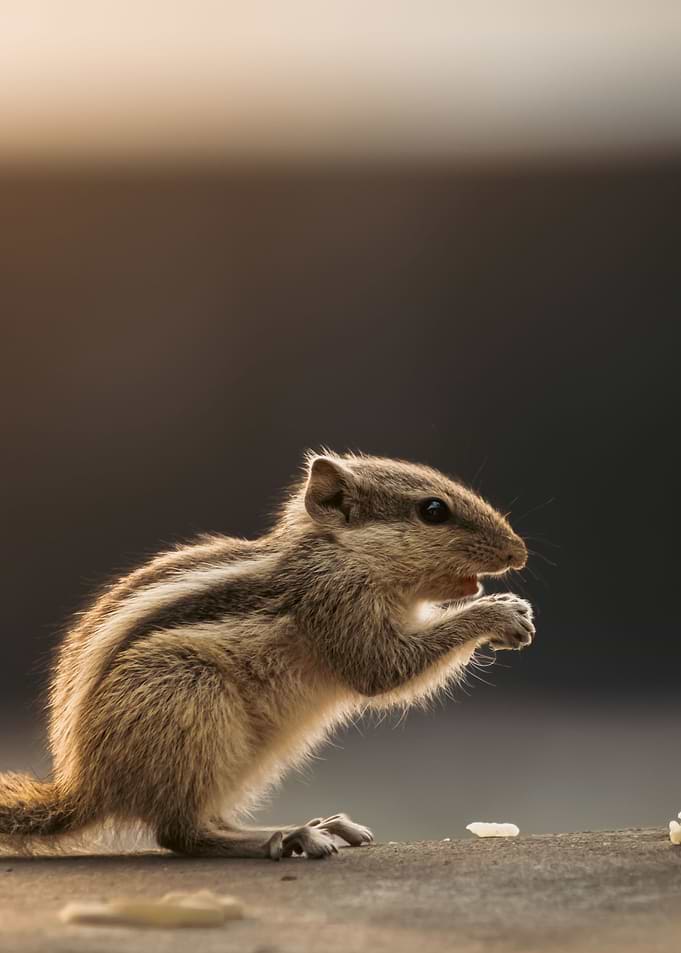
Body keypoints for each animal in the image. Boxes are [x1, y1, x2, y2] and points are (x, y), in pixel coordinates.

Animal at [0, 452, 534, 860]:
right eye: (433, 510)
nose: (519, 551)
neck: (340, 554)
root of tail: (84, 787)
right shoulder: (336, 603)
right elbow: (382, 670)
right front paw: (498, 613)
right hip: (190, 697)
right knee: (184, 835)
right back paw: (286, 836)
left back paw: (318, 826)